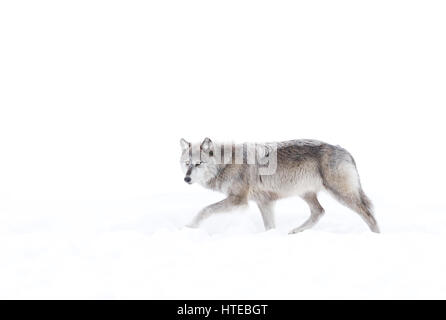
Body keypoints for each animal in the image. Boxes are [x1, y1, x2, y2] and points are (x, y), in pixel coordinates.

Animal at [179, 137, 378, 232]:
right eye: (187, 164)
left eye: (198, 164)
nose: (186, 179)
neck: (227, 163)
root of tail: (345, 150)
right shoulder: (264, 202)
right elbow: (269, 227)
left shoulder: (238, 200)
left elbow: (205, 210)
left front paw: (189, 226)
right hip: (306, 193)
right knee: (319, 212)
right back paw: (296, 231)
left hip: (342, 195)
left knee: (369, 214)